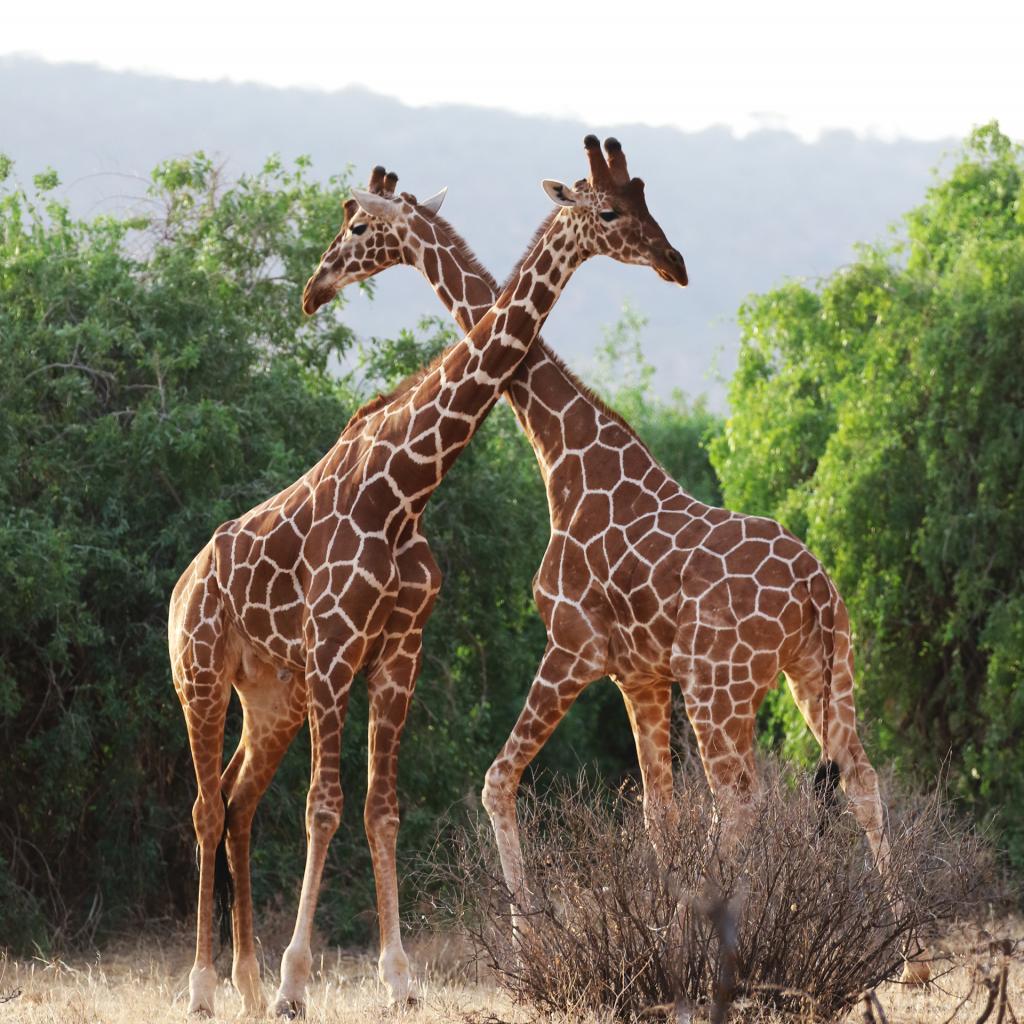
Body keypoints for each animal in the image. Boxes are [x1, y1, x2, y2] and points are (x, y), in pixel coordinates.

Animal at [169, 134, 688, 1015]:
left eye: (645, 201)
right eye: (609, 209)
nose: (675, 263)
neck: (403, 490)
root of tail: (181, 585)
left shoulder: (398, 651)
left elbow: (381, 810)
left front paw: (399, 980)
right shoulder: (333, 648)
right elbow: (324, 808)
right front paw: (298, 982)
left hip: (269, 694)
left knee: (239, 803)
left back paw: (244, 984)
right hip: (201, 674)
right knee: (206, 807)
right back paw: (208, 988)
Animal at [299, 140, 933, 978]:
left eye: (359, 226)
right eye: (615, 207)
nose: (316, 286)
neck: (563, 453)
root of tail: (817, 592)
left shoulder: (573, 645)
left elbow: (498, 781)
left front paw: (536, 947)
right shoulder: (640, 674)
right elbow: (657, 811)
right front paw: (656, 931)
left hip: (723, 687)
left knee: (742, 798)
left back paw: (728, 944)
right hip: (821, 670)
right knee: (859, 777)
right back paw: (906, 952)